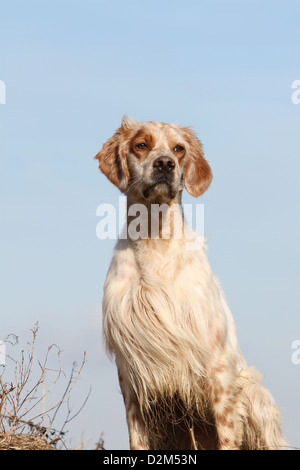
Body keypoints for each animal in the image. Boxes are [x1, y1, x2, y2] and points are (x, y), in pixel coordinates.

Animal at [96, 117, 288, 452]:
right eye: (141, 145)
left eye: (179, 149)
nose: (165, 164)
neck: (155, 239)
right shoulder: (130, 368)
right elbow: (136, 435)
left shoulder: (217, 365)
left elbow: (227, 433)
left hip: (253, 390)